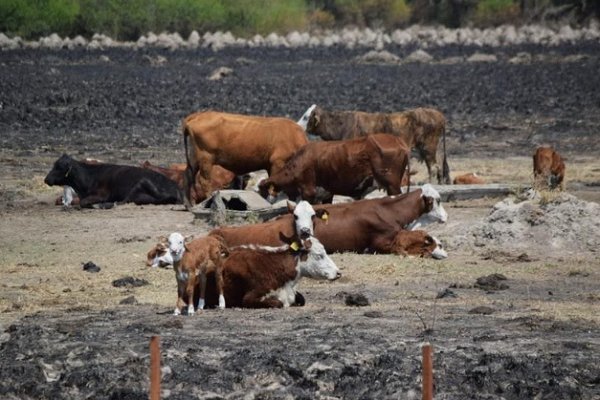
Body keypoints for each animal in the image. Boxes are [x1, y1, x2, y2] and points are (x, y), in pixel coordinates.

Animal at [182, 109, 310, 206]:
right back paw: (210, 199)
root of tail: (199, 115)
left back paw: (189, 204)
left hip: (195, 159)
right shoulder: (277, 162)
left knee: (188, 176)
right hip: (206, 159)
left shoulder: (270, 165)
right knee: (204, 181)